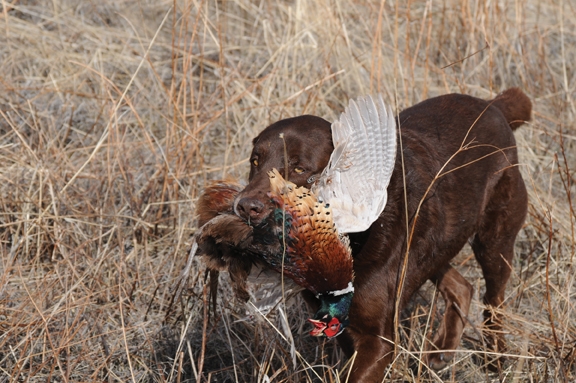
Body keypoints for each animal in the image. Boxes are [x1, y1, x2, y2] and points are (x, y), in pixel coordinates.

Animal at [234, 89, 532, 380]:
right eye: (255, 161)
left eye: (299, 169)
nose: (246, 206)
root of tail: (494, 106)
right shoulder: (344, 327)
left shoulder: (377, 339)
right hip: (436, 247)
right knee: (461, 286)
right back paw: (440, 352)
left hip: (494, 240)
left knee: (493, 301)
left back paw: (496, 360)